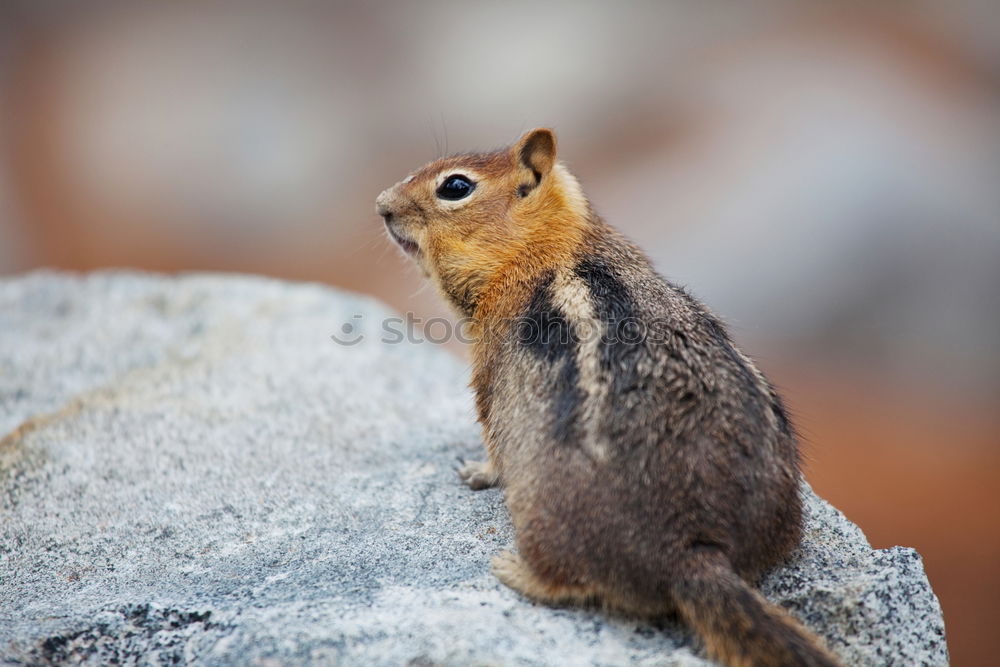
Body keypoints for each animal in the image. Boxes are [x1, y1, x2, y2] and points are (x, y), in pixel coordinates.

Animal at [376, 128, 844, 664]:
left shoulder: (488, 374)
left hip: (544, 517)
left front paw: (476, 472)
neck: (549, 246)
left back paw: (512, 570)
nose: (381, 205)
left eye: (455, 187)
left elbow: (492, 438)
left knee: (567, 582)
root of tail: (695, 555)